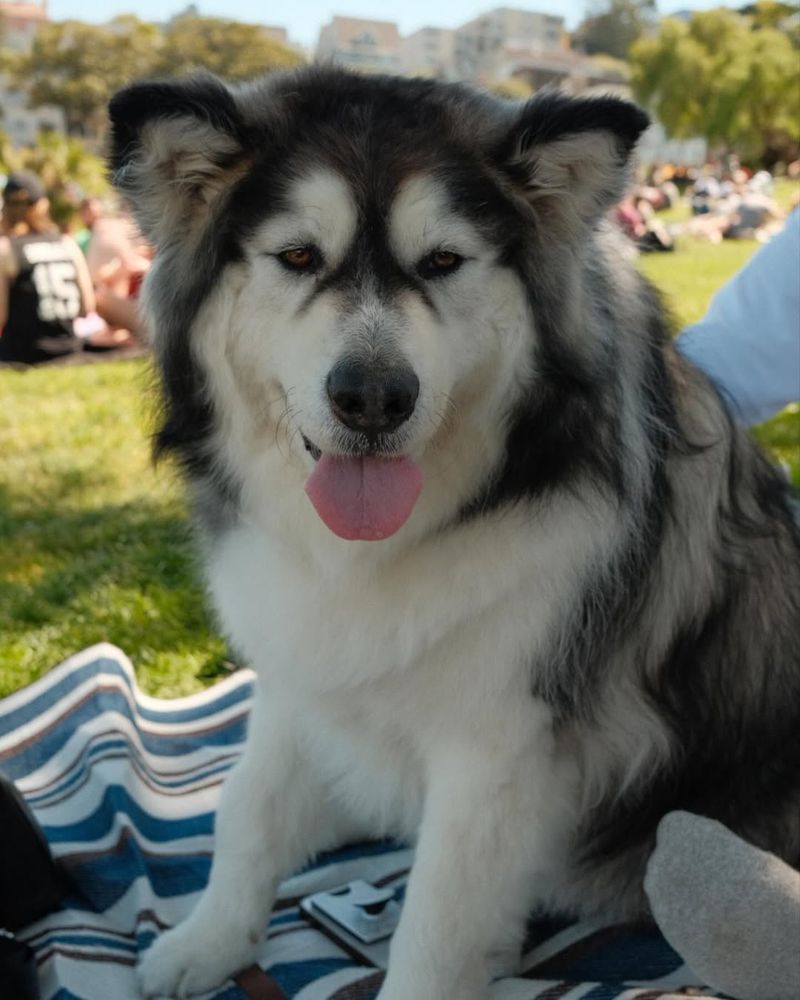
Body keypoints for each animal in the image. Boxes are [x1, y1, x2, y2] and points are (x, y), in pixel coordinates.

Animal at [109, 70, 800, 1000]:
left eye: (442, 261)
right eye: (298, 257)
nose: (372, 398)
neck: (379, 550)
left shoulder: (496, 749)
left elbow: (436, 921)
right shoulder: (300, 676)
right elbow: (245, 808)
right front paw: (208, 942)